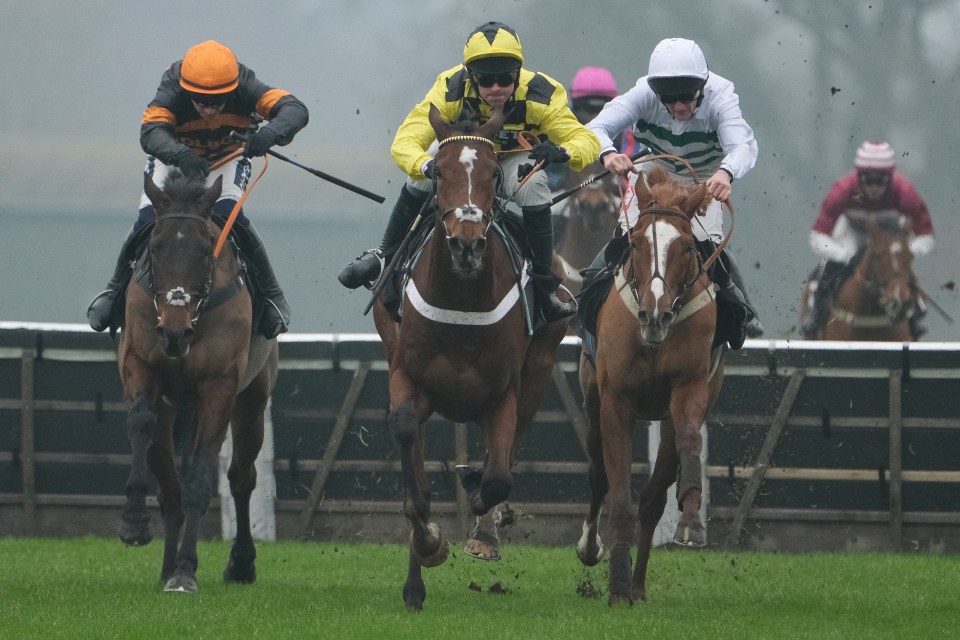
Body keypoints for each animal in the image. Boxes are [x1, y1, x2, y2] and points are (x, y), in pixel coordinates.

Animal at [117, 171, 278, 596]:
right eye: (154, 247)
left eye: (207, 250)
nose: (175, 333)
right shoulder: (140, 364)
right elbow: (140, 422)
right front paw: (134, 521)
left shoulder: (219, 387)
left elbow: (202, 479)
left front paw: (186, 570)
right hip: (171, 413)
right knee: (170, 491)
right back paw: (165, 564)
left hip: (252, 400)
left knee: (241, 479)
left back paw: (240, 563)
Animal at [374, 104, 568, 608]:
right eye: (439, 171)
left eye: (492, 175)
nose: (466, 244)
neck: (461, 298)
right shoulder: (407, 376)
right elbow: (409, 451)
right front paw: (427, 543)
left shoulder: (503, 393)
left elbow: (498, 477)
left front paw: (479, 516)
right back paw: (415, 583)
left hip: (539, 370)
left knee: (508, 455)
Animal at [572, 165, 724, 604]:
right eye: (637, 241)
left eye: (687, 246)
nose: (654, 315)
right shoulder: (615, 401)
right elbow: (618, 491)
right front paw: (616, 584)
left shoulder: (690, 387)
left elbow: (688, 443)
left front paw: (690, 517)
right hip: (592, 400)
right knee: (598, 474)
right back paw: (593, 550)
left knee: (654, 499)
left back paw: (639, 584)